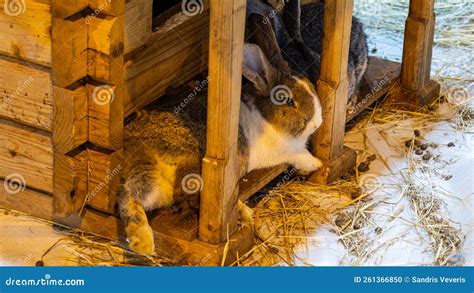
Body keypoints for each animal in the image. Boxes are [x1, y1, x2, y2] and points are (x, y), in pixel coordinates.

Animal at [117, 42, 324, 253]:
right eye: (287, 100)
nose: (317, 124)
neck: (267, 118)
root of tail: (140, 149)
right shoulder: (283, 151)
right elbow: (300, 154)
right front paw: (317, 164)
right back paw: (244, 213)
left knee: (129, 197)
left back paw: (141, 242)